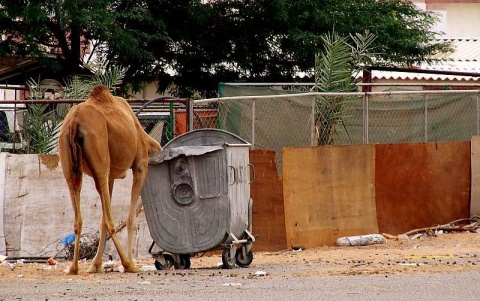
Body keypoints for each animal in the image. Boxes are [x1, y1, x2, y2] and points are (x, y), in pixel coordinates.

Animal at [57, 84, 163, 274]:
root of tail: (74, 123)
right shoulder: (140, 165)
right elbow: (130, 219)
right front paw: (130, 262)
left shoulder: (111, 178)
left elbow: (101, 221)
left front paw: (95, 265)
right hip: (100, 160)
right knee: (109, 219)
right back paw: (128, 264)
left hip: (70, 166)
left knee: (79, 217)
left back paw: (73, 268)